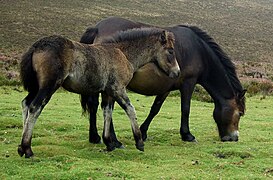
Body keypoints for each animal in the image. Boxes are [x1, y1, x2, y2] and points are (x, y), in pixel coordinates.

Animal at [17, 27, 178, 158]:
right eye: (170, 51)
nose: (177, 72)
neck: (123, 53)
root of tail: (36, 46)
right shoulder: (118, 89)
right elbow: (130, 109)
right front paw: (139, 142)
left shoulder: (107, 92)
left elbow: (107, 112)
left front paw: (109, 143)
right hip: (49, 86)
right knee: (35, 107)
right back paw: (28, 149)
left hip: (37, 87)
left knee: (26, 103)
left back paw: (21, 148)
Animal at [79, 16, 246, 148]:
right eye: (240, 113)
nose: (234, 138)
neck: (200, 52)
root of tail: (97, 28)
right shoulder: (188, 83)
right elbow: (185, 109)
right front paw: (187, 135)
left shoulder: (166, 87)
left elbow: (155, 109)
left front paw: (143, 132)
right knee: (106, 107)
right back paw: (114, 141)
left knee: (95, 105)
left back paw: (95, 137)